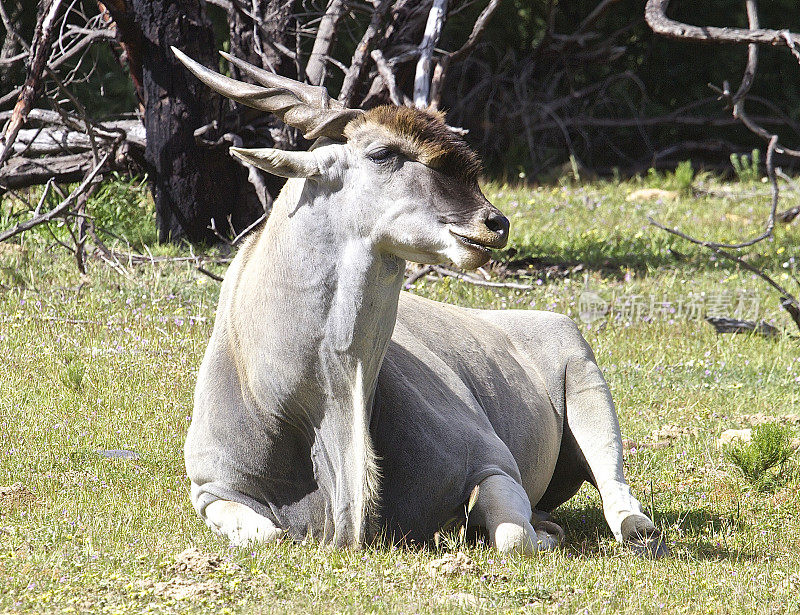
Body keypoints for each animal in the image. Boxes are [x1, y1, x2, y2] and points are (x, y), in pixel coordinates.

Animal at [177, 48, 668, 556]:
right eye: (382, 154)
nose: (495, 223)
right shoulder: (213, 492)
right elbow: (269, 535)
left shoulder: (494, 465)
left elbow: (515, 538)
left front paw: (530, 532)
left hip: (591, 390)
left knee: (616, 492)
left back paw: (635, 530)